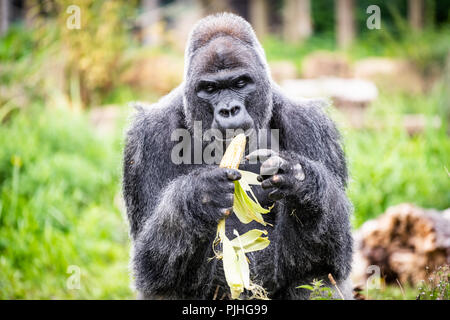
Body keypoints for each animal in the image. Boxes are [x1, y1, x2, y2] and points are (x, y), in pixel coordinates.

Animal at [124, 11, 356, 298]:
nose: (229, 109)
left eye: (240, 83)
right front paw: (200, 197)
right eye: (210, 89)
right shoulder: (149, 136)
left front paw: (300, 181)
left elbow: (331, 256)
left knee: (316, 277)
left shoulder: (312, 125)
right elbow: (152, 268)